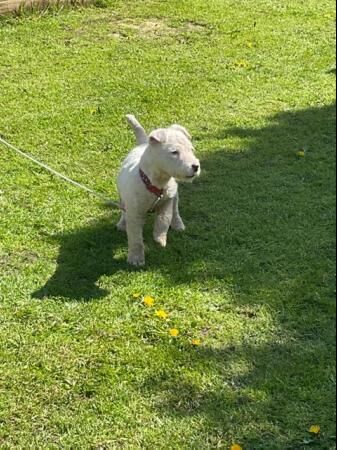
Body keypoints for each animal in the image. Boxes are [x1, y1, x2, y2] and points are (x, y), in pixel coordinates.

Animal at [117, 114, 200, 268]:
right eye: (174, 152)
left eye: (191, 150)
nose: (196, 166)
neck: (155, 183)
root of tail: (143, 143)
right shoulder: (134, 213)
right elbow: (135, 238)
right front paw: (136, 258)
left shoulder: (167, 201)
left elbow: (164, 219)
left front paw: (159, 238)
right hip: (122, 195)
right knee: (123, 210)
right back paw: (121, 223)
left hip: (175, 195)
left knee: (175, 210)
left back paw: (178, 224)